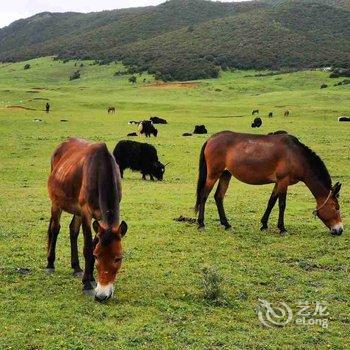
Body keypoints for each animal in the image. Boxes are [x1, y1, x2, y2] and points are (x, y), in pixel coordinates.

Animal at [46, 138, 128, 302]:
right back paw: (50, 264)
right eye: (98, 257)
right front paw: (87, 284)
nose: (102, 296)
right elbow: (88, 248)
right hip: (56, 203)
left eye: (118, 258)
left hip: (76, 209)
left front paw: (90, 279)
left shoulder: (100, 220)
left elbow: (93, 243)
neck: (100, 169)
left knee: (73, 230)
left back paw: (76, 267)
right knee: (55, 228)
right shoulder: (86, 212)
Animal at [196, 133, 344, 237]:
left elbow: (271, 202)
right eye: (336, 207)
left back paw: (226, 224)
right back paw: (201, 224)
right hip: (213, 174)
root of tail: (211, 139)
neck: (296, 155)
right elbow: (282, 204)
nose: (340, 229)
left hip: (226, 174)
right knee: (204, 195)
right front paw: (282, 228)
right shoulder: (284, 181)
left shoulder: (278, 182)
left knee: (218, 197)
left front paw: (264, 225)